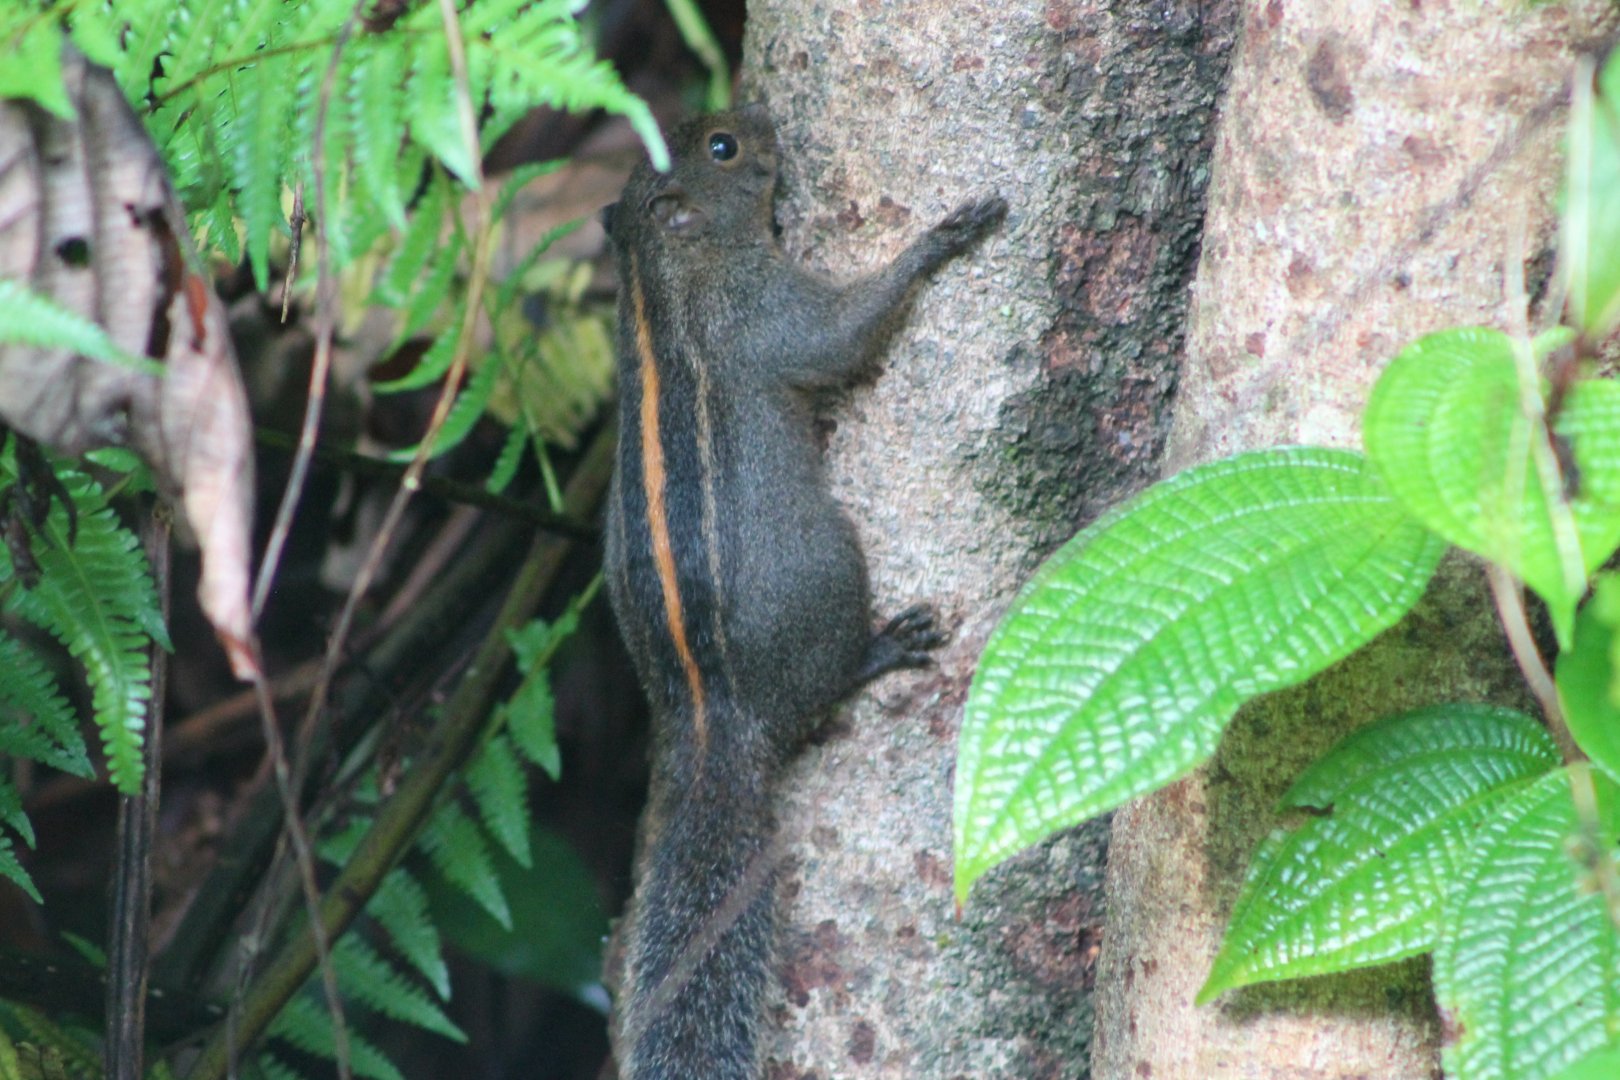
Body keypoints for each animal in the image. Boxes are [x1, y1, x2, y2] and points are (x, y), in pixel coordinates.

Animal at [601, 103, 1006, 1079]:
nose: (760, 118)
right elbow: (841, 334)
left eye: (702, 130)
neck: (659, 279)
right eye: (723, 149)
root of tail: (720, 720)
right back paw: (885, 646)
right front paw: (937, 242)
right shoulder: (767, 311)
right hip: (831, 564)